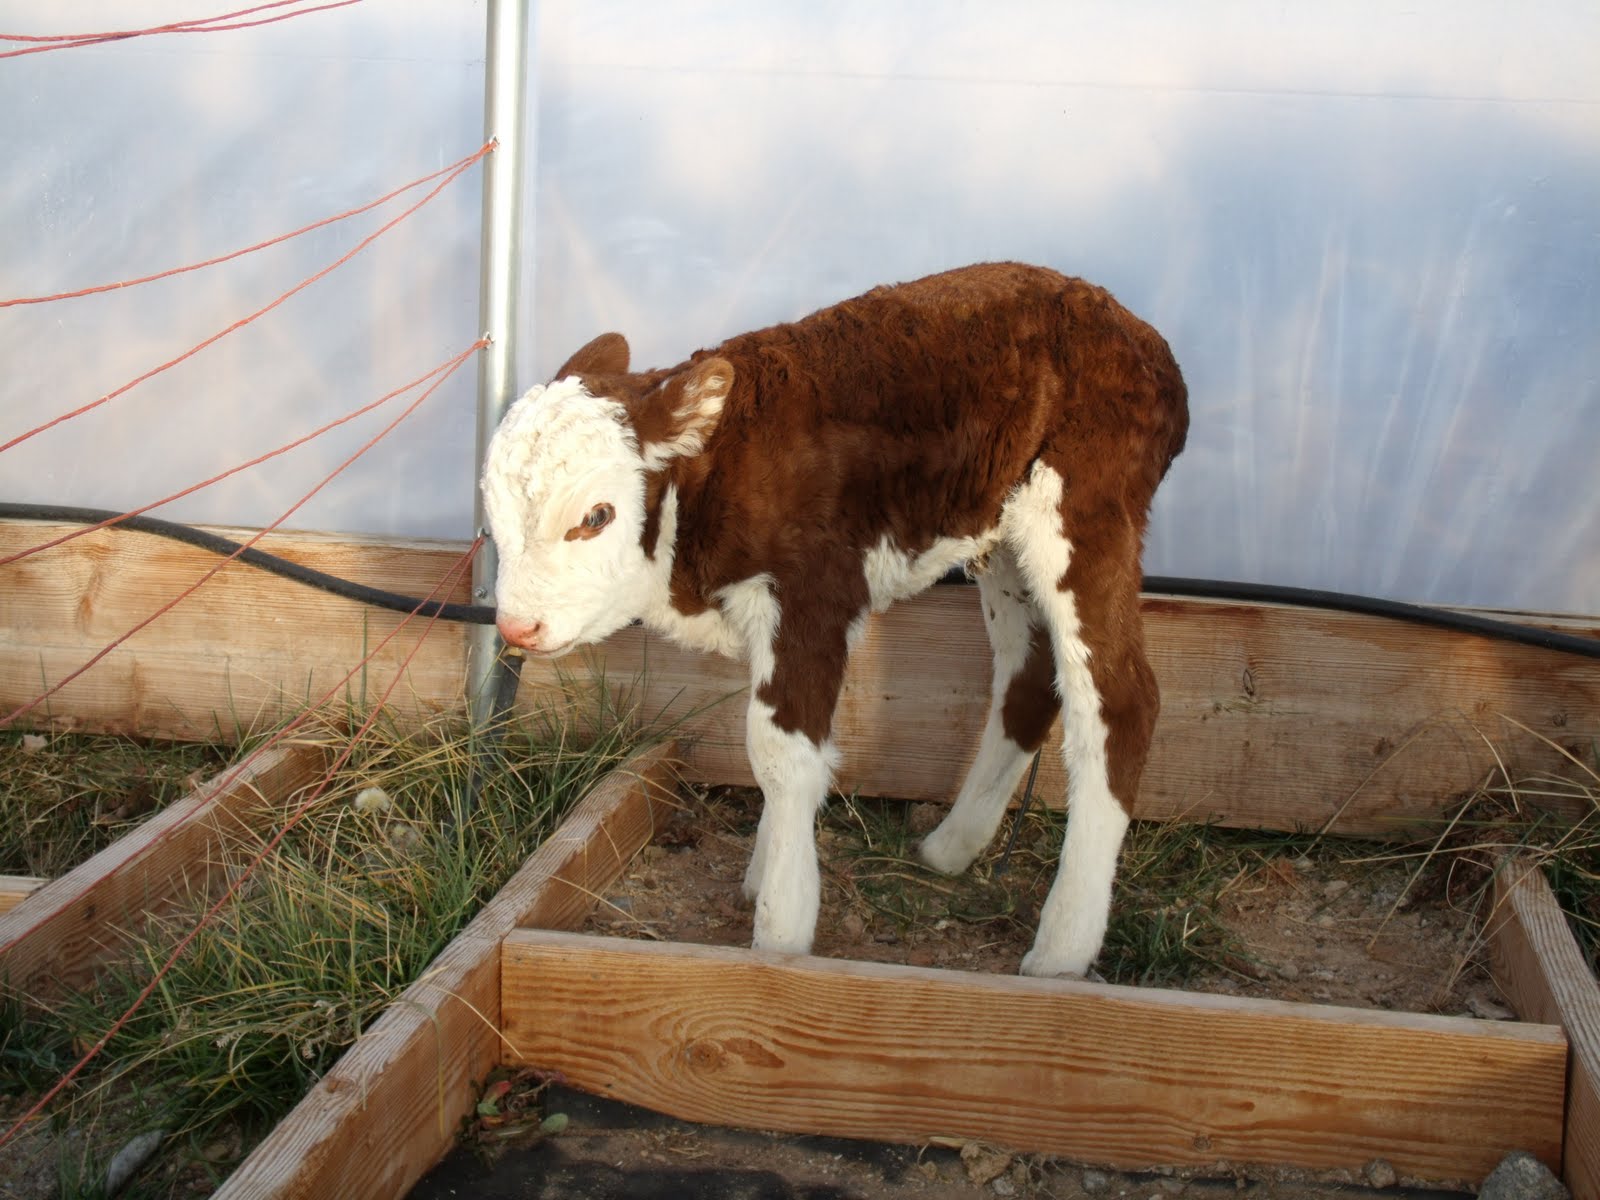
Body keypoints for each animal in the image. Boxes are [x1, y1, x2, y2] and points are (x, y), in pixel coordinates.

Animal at [482, 262, 1188, 978]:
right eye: (492, 516)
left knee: (1120, 700)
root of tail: (1142, 338)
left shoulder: (814, 590)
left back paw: (1060, 953)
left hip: (1086, 508)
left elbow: (780, 752)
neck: (712, 478)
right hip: (1001, 535)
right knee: (1030, 676)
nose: (516, 628)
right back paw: (951, 847)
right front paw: (762, 874)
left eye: (595, 516)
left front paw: (782, 930)